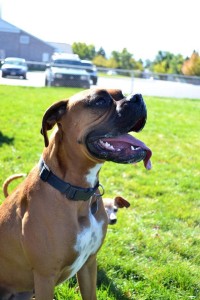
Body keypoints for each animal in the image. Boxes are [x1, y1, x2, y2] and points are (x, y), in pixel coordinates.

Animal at [0, 88, 152, 298]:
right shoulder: (45, 277)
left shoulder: (89, 265)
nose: (138, 96)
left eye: (121, 93)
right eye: (100, 101)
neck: (78, 193)